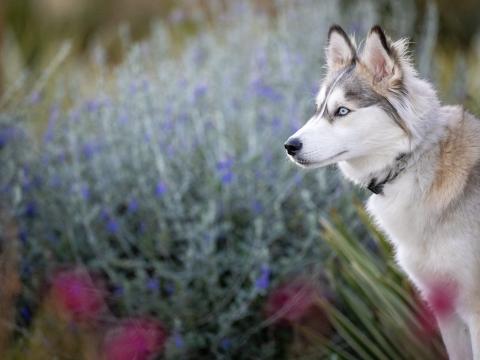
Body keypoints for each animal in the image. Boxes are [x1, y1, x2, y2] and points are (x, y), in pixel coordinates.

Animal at [284, 23, 480, 358]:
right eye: (319, 109)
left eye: (342, 111)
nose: (289, 146)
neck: (410, 163)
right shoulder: (445, 310)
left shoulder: (474, 310)